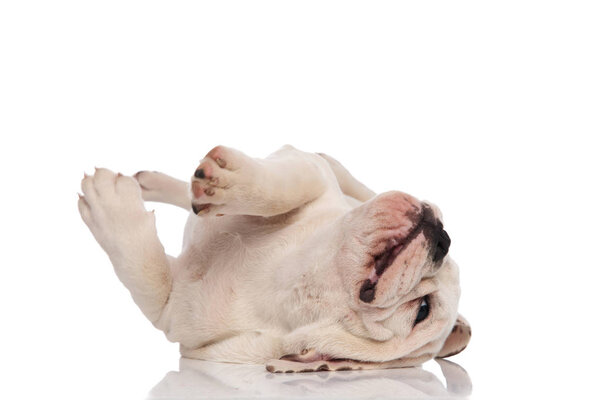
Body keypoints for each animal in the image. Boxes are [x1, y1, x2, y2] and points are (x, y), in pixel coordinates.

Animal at [77, 145, 472, 374]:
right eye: (451, 256)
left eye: (423, 310)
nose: (443, 237)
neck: (297, 273)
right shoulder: (310, 168)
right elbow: (288, 185)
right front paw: (231, 182)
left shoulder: (174, 314)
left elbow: (148, 273)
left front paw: (109, 201)